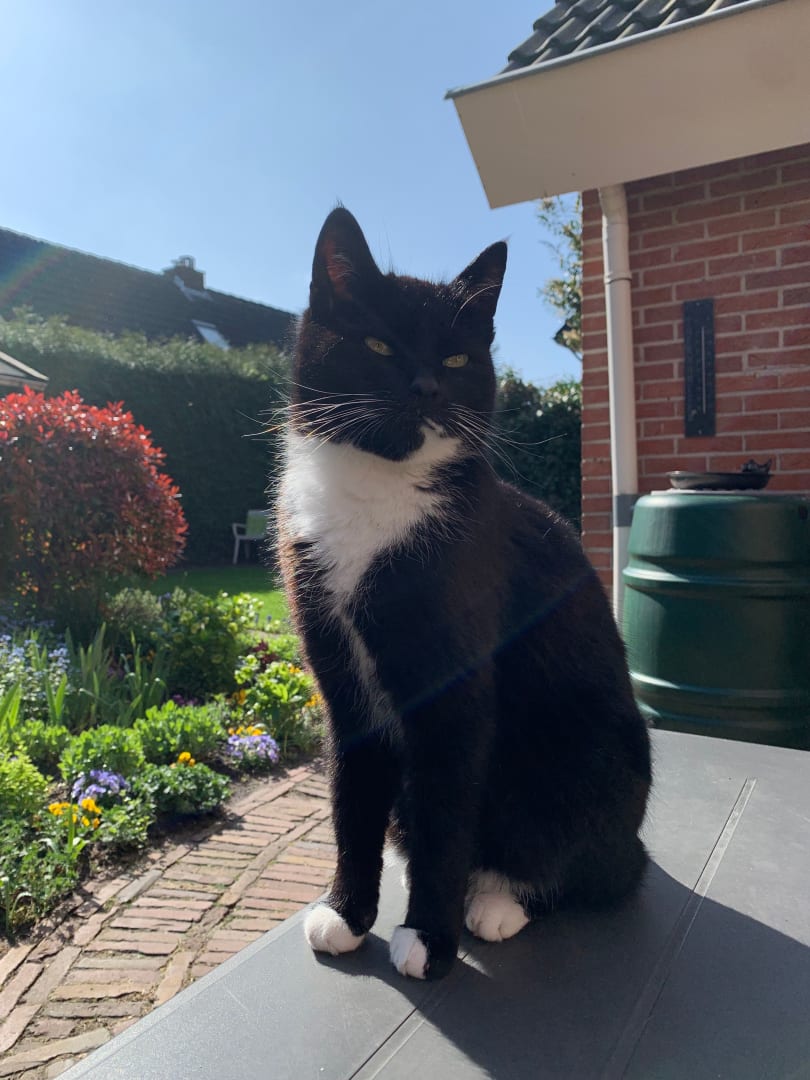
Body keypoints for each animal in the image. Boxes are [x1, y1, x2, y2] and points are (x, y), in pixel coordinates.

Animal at [276, 207, 652, 981]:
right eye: (379, 343)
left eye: (455, 360)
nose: (426, 386)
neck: (379, 492)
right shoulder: (340, 681)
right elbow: (351, 798)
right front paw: (347, 911)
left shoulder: (456, 690)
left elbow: (446, 810)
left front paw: (430, 935)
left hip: (584, 759)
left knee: (603, 869)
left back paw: (501, 900)